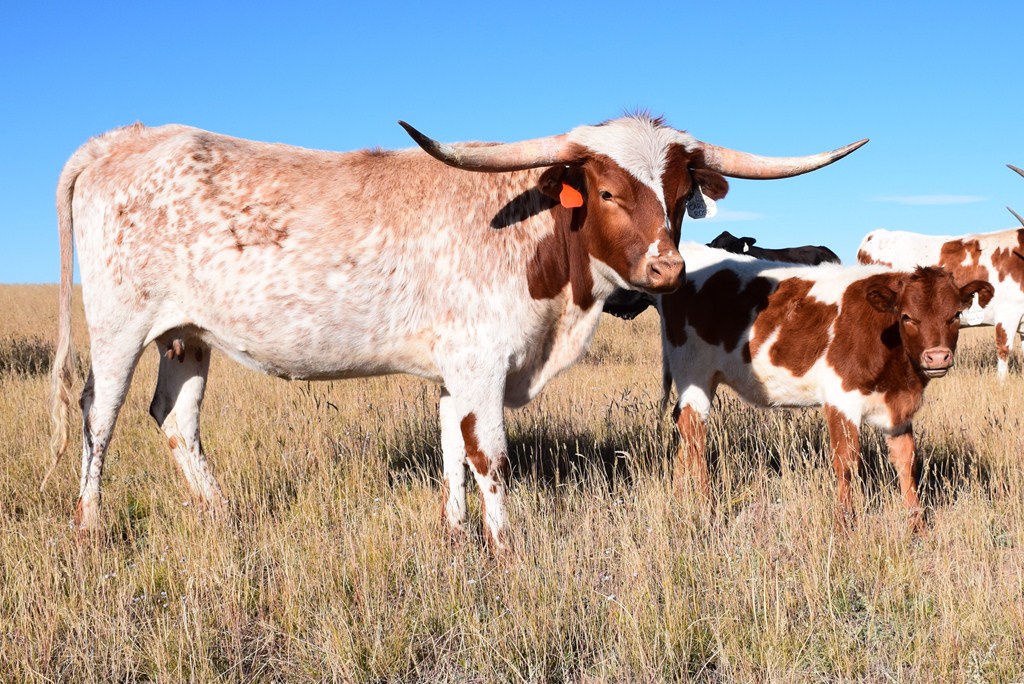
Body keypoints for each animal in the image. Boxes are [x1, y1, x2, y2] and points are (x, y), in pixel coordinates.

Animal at [658, 243, 992, 529]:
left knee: (684, 429)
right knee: (694, 431)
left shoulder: (899, 409)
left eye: (955, 315)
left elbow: (907, 463)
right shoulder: (841, 399)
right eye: (907, 316)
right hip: (694, 370)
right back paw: (706, 508)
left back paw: (679, 499)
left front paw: (917, 526)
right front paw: (845, 527)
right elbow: (846, 462)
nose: (937, 356)